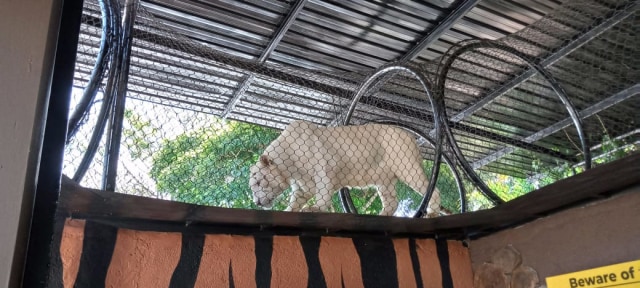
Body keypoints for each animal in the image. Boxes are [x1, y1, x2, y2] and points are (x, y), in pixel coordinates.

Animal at [249, 120, 440, 217]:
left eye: (258, 182)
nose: (257, 202)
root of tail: (410, 136)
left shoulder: (322, 165)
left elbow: (323, 189)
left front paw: (314, 208)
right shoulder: (301, 182)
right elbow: (298, 197)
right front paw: (289, 210)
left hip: (403, 160)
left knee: (429, 187)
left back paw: (431, 212)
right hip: (383, 177)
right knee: (391, 200)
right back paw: (381, 214)